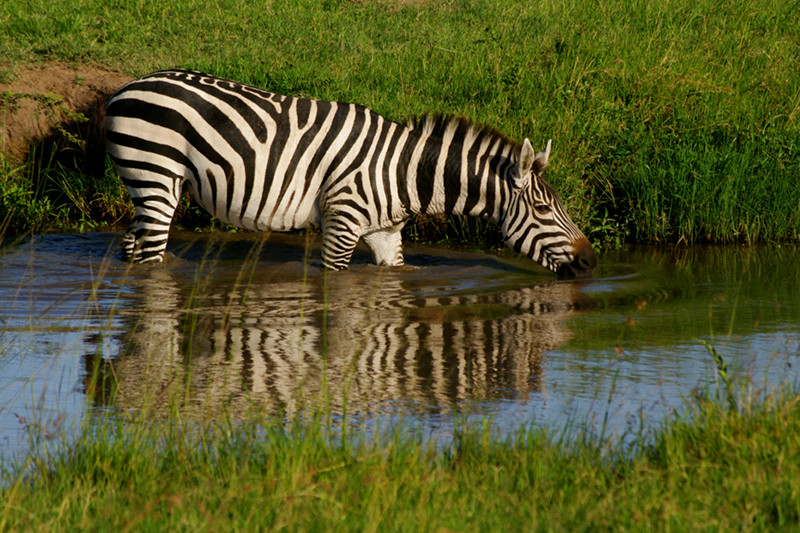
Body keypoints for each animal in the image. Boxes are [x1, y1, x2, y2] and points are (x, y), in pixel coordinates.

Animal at [101, 69, 592, 276]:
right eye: (545, 211)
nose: (590, 261)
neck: (403, 173)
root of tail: (127, 86)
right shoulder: (342, 223)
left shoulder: (385, 232)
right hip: (156, 175)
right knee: (150, 257)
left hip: (150, 186)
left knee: (131, 244)